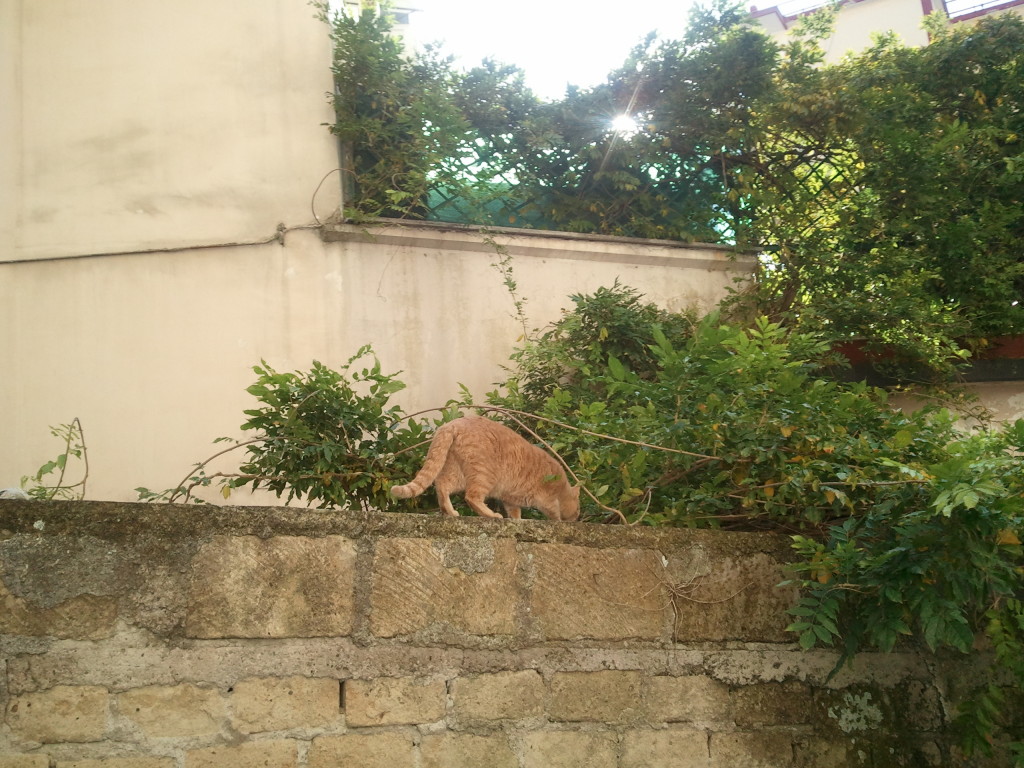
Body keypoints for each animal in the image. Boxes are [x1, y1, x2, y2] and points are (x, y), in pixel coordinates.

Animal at [389, 417, 581, 520]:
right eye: (578, 510)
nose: (577, 517)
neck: (562, 488)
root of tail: (452, 423)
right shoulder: (548, 500)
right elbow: (554, 513)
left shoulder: (510, 499)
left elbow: (515, 513)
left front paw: (517, 521)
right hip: (484, 475)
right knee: (471, 497)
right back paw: (491, 515)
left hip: (456, 471)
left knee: (442, 486)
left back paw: (449, 511)